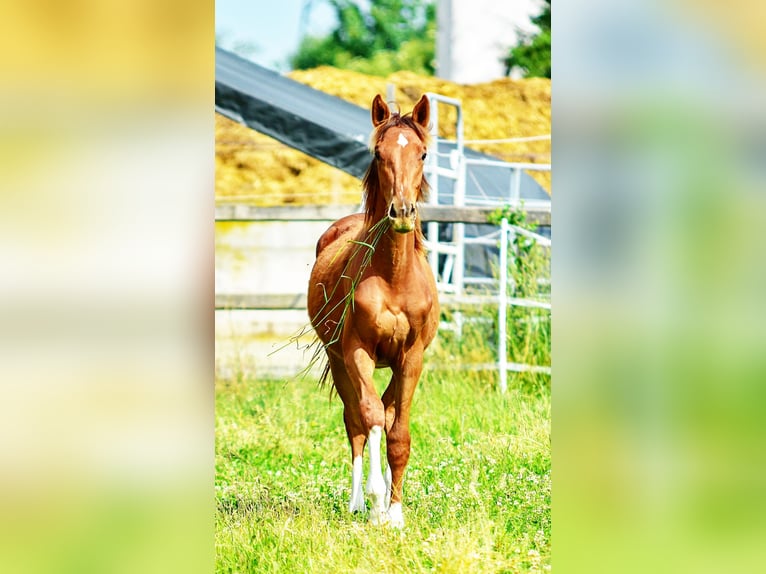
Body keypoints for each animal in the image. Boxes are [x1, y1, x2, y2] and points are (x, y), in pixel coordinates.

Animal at [306, 94, 439, 528]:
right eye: (379, 153)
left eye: (423, 153)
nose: (401, 212)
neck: (394, 277)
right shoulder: (357, 352)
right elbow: (371, 418)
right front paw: (378, 502)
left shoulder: (411, 358)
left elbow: (398, 432)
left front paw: (395, 514)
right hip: (337, 359)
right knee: (356, 422)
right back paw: (357, 503)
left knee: (384, 409)